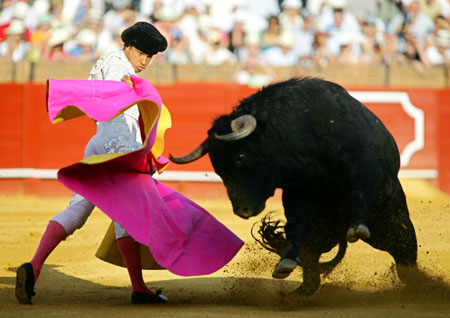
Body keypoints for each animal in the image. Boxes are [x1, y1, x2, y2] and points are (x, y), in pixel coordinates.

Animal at [170, 77, 418, 296]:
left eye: (240, 156)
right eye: (218, 169)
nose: (242, 210)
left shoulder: (363, 166)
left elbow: (358, 192)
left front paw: (356, 227)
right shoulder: (298, 191)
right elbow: (296, 223)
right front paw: (286, 261)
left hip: (392, 226)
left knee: (406, 257)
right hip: (320, 235)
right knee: (311, 266)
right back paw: (299, 293)